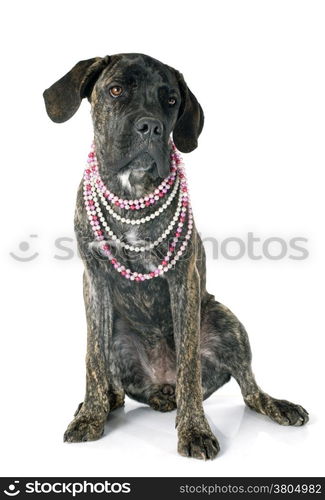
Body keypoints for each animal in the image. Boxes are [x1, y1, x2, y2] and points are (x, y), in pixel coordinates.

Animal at [43, 52, 308, 458]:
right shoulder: (94, 281)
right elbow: (92, 358)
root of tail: (159, 387)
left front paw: (194, 430)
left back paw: (276, 404)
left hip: (226, 322)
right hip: (119, 336)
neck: (133, 192)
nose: (151, 126)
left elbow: (188, 368)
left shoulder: (183, 279)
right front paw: (90, 416)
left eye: (170, 101)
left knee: (248, 390)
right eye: (116, 90)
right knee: (112, 377)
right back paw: (107, 402)